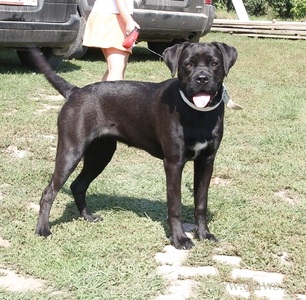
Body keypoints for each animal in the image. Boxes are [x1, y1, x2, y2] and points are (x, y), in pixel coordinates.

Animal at [33, 41, 238, 248]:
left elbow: (201, 203)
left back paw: (88, 216)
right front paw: (179, 238)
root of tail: (75, 91)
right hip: (71, 151)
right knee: (49, 192)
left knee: (78, 185)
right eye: (188, 64)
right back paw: (43, 229)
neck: (197, 114)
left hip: (100, 154)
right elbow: (175, 205)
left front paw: (204, 234)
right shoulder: (173, 163)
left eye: (214, 63)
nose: (202, 78)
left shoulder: (206, 162)